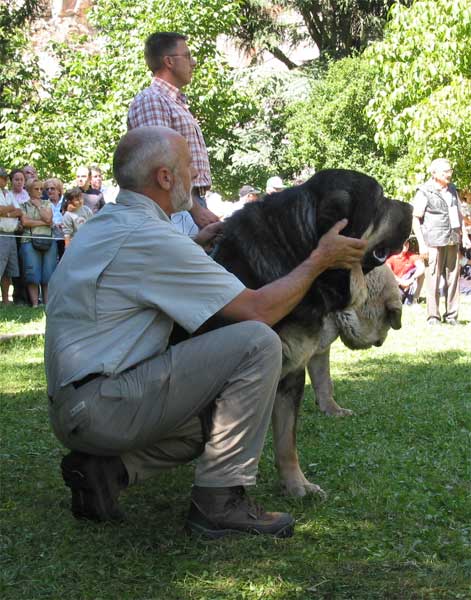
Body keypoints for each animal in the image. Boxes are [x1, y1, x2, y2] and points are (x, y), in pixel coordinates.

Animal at [211, 170, 412, 496]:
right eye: (380, 200)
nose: (411, 206)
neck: (296, 257)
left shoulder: (294, 369)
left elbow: (287, 439)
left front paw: (297, 485)